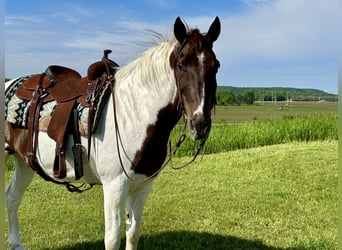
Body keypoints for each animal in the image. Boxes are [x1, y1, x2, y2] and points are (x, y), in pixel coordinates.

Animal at [4, 16, 222, 249]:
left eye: (216, 66)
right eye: (180, 66)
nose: (199, 125)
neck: (134, 113)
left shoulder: (143, 186)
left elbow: (133, 233)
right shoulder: (114, 186)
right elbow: (112, 238)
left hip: (25, 162)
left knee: (12, 197)